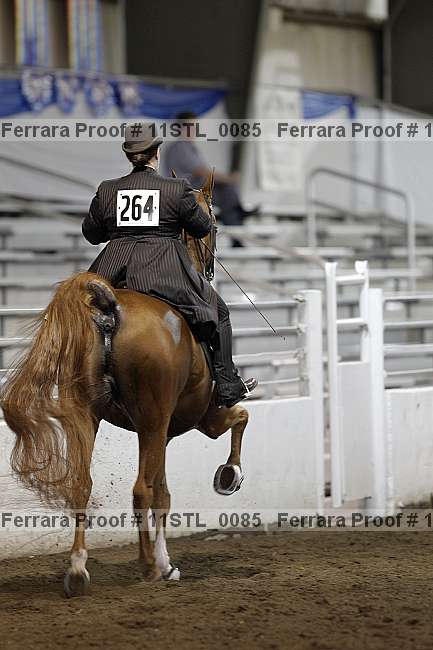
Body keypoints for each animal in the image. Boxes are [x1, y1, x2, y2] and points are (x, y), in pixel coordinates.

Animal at [0, 171, 249, 597]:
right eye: (214, 225)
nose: (210, 270)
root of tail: (110, 308)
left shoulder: (163, 433)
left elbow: (165, 492)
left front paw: (168, 563)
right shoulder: (201, 421)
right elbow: (241, 418)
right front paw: (228, 476)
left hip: (87, 417)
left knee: (82, 485)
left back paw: (78, 570)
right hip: (151, 422)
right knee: (139, 490)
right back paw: (147, 566)